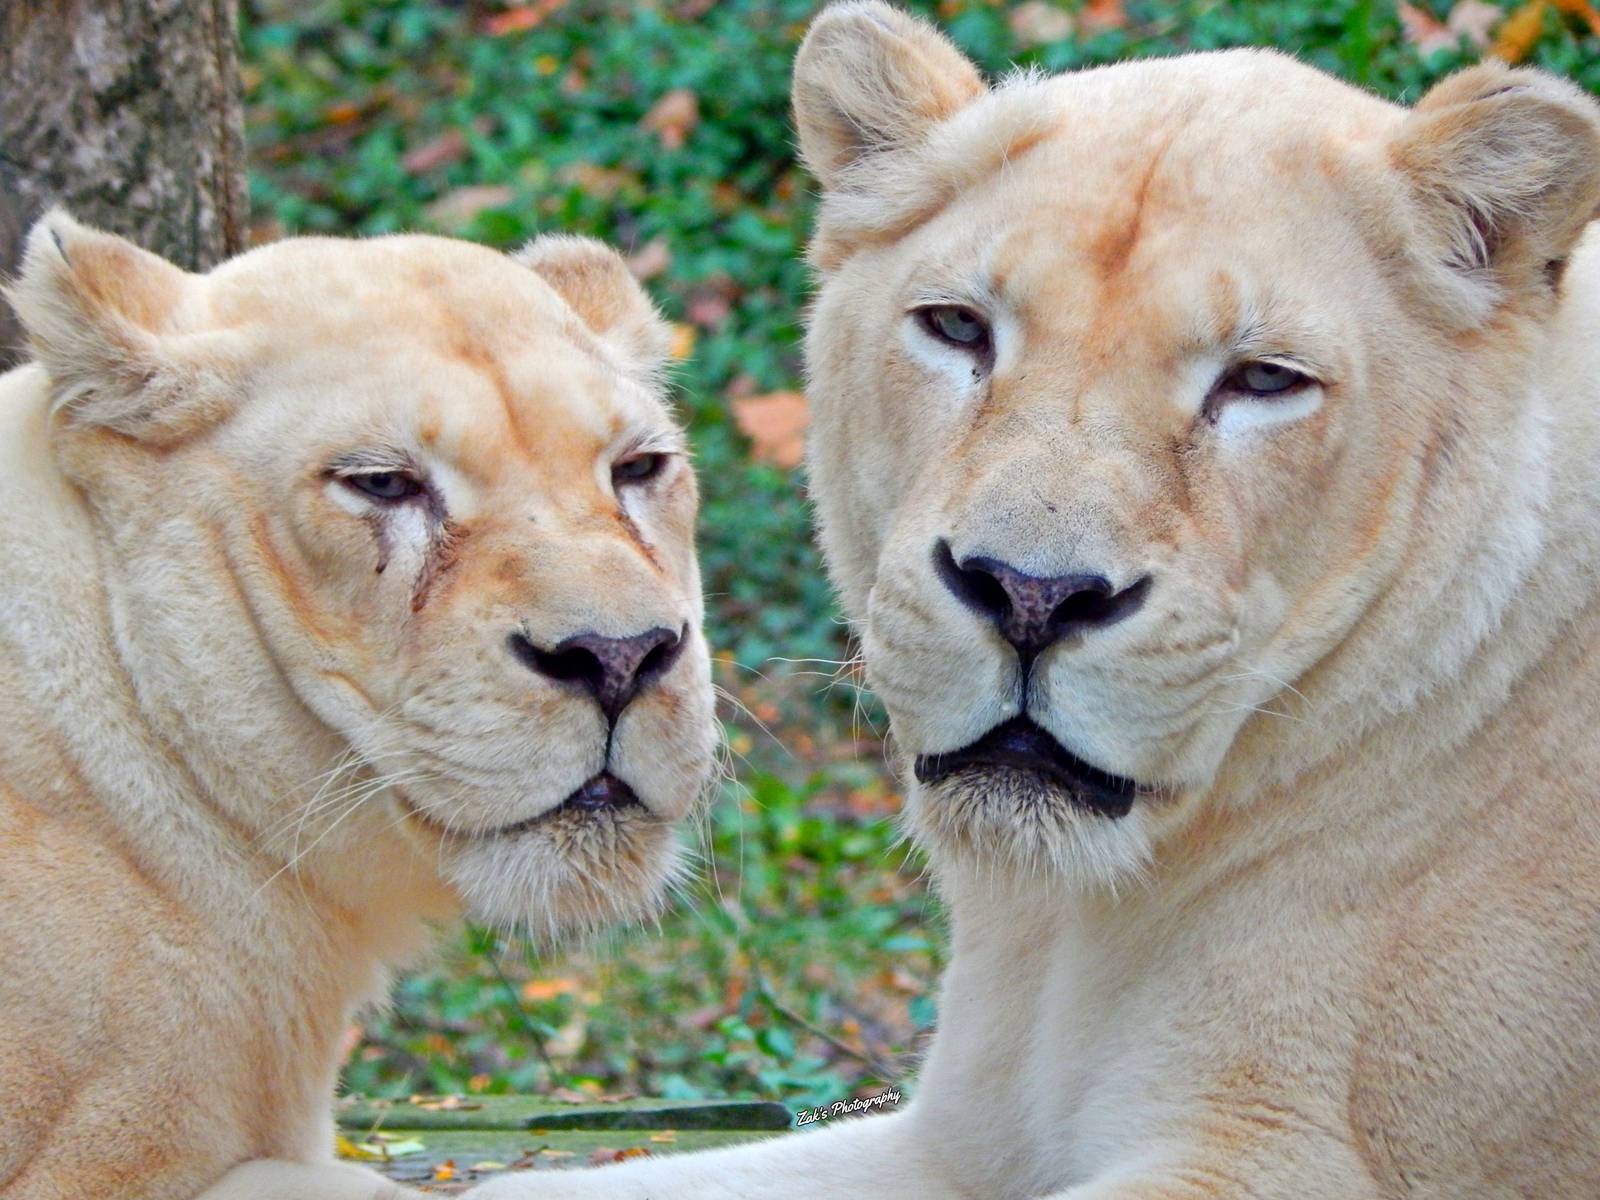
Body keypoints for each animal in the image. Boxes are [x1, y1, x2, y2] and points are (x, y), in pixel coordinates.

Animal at [472, 4, 1600, 1198]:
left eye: (1262, 380)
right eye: (958, 328)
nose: (1029, 596)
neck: (1072, 919)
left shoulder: (1303, 1156)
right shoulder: (953, 1136)